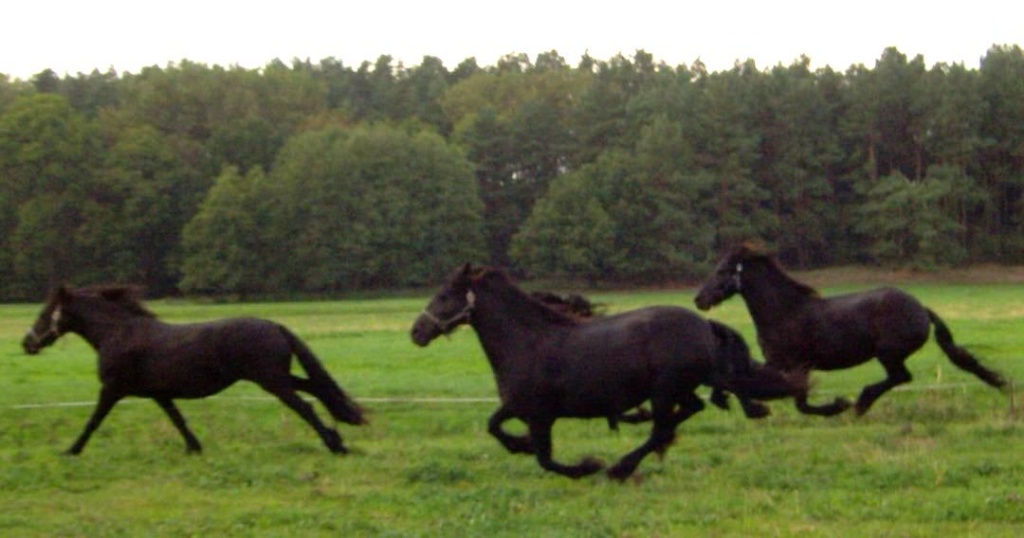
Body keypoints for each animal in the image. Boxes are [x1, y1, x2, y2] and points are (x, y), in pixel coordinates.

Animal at [22, 285, 366, 455]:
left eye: (44, 314)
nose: (27, 343)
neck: (117, 333)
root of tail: (274, 325)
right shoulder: (159, 394)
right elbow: (178, 420)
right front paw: (194, 447)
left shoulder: (112, 389)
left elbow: (93, 422)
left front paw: (71, 450)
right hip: (277, 377)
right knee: (316, 388)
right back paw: (340, 433)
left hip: (271, 381)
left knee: (305, 406)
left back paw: (335, 444)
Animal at [410, 264, 802, 480]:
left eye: (444, 296)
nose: (416, 332)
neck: (529, 341)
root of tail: (705, 325)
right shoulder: (518, 406)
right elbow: (494, 426)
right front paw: (519, 445)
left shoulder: (541, 415)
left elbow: (546, 459)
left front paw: (587, 466)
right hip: (676, 389)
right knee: (689, 411)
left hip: (664, 391)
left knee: (663, 428)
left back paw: (619, 468)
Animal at [694, 243, 1007, 416]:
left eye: (722, 271)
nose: (699, 299)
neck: (785, 312)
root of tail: (921, 309)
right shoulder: (778, 363)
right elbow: (738, 380)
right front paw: (746, 406)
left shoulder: (797, 364)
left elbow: (801, 402)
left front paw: (838, 405)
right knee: (899, 378)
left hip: (889, 353)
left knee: (900, 377)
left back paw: (860, 403)